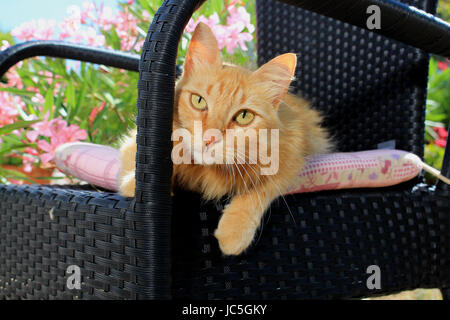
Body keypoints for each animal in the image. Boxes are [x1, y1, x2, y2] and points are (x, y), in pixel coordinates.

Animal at [118, 23, 332, 255]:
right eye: (199, 101)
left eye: (244, 116)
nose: (209, 138)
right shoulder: (132, 146)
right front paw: (138, 184)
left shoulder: (292, 158)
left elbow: (259, 190)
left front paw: (234, 232)